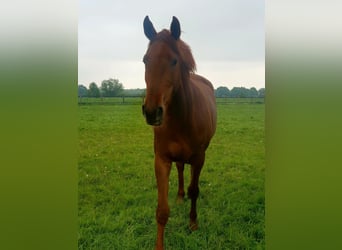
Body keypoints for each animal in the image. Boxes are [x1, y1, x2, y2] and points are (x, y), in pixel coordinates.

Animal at [142, 16, 216, 250]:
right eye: (145, 60)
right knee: (181, 169)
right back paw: (179, 196)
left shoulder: (199, 158)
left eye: (174, 61)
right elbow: (162, 211)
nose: (151, 111)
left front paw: (193, 224)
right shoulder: (161, 160)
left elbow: (195, 190)